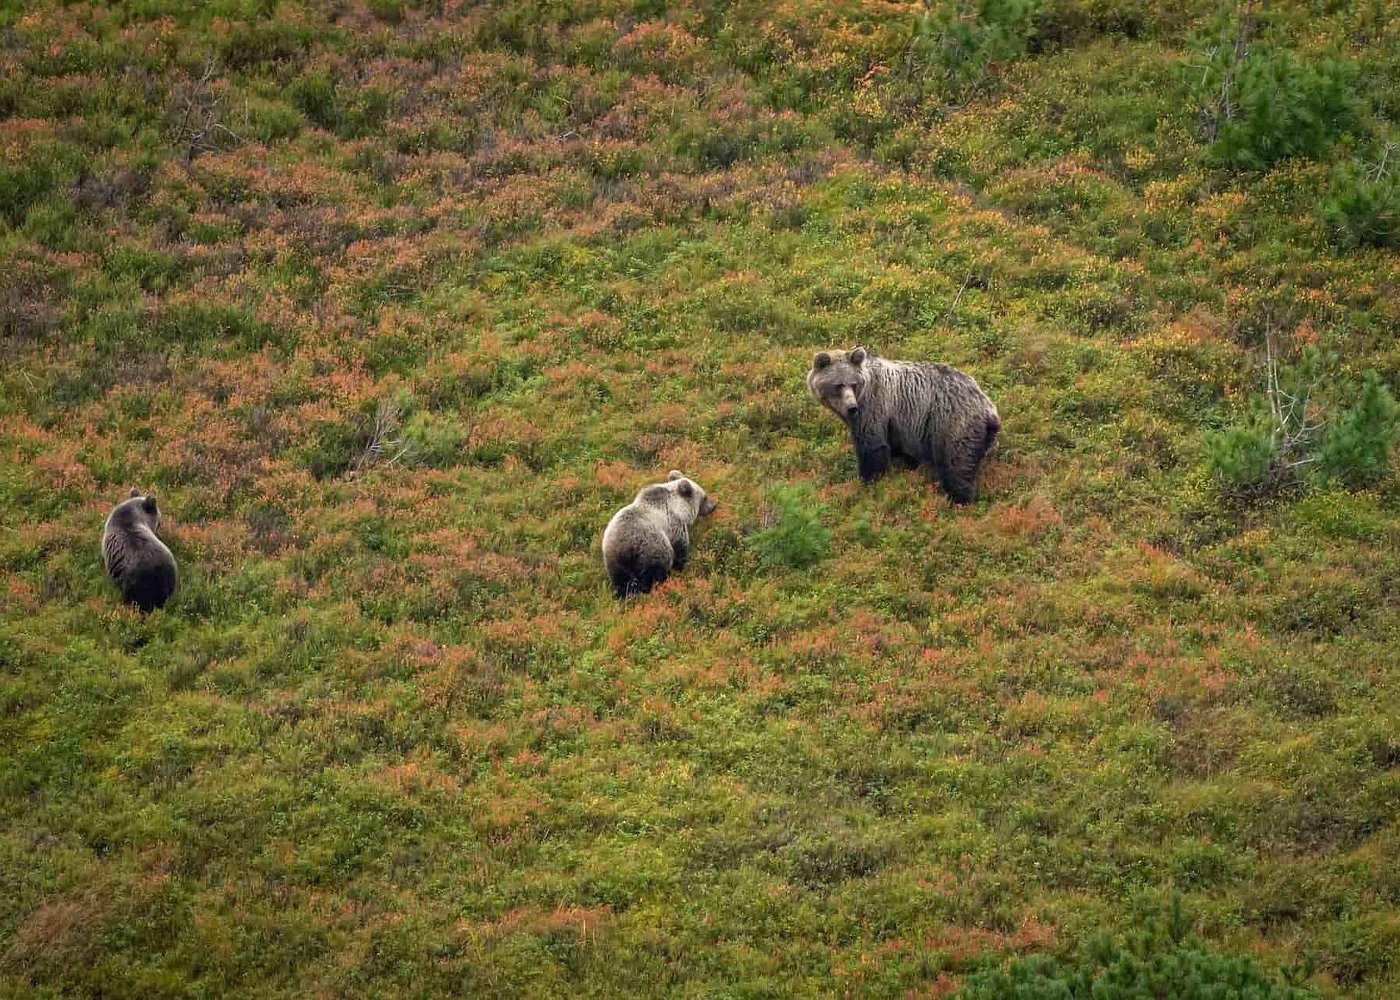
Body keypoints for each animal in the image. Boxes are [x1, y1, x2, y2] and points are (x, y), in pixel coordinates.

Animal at [806, 346, 1000, 504]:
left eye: (853, 384)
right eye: (838, 385)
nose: (852, 407)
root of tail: (989, 408)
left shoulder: (874, 407)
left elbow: (872, 447)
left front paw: (867, 482)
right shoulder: (898, 425)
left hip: (954, 423)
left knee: (956, 464)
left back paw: (957, 500)